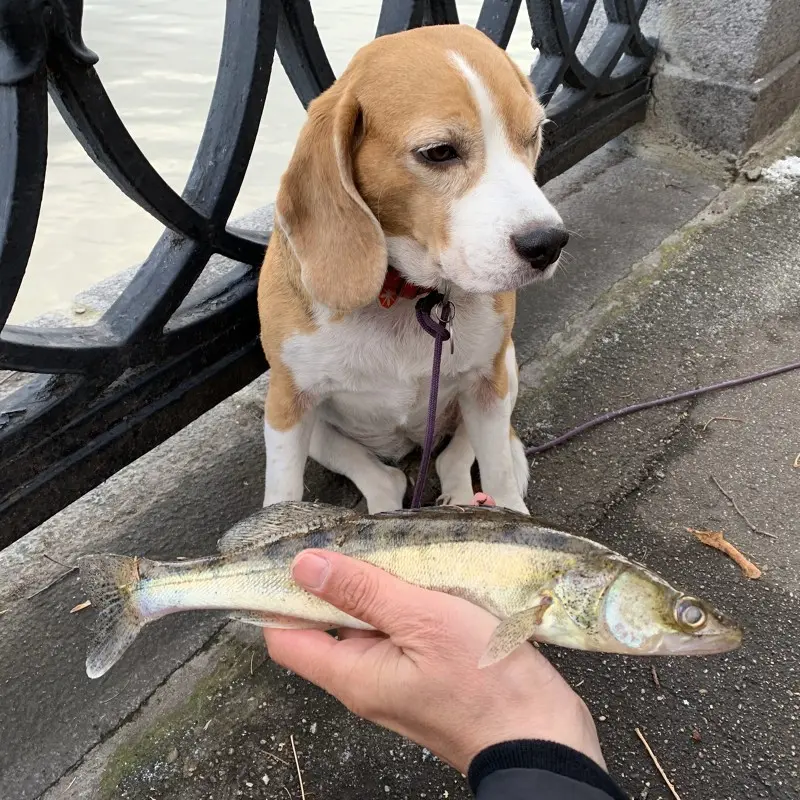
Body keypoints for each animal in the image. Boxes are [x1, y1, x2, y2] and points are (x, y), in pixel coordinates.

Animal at [260, 25, 564, 516]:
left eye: (534, 134)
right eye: (439, 152)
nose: (549, 243)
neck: (406, 295)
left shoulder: (488, 382)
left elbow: (497, 473)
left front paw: (511, 514)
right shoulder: (288, 405)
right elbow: (282, 496)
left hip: (503, 368)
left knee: (456, 459)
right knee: (383, 477)